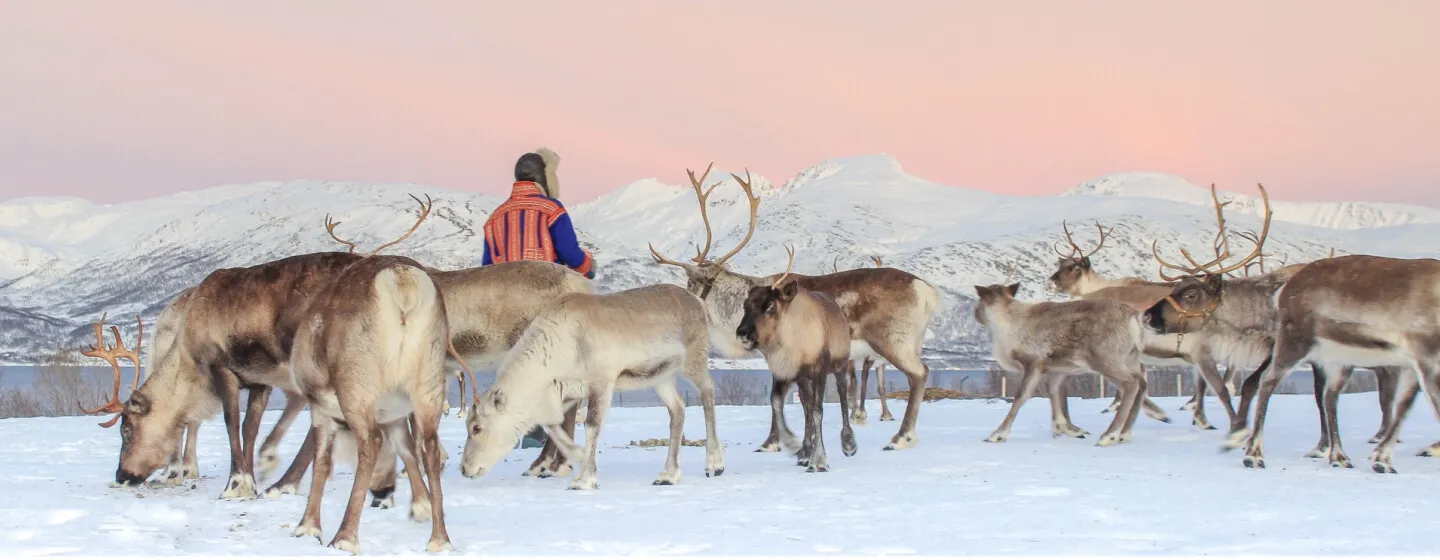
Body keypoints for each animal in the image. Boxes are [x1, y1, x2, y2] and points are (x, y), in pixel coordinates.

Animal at [458, 282, 725, 490]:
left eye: (476, 427)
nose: (464, 469)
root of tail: (699, 302)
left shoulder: (602, 382)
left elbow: (591, 425)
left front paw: (585, 478)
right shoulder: (568, 391)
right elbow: (553, 425)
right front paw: (577, 456)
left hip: (694, 362)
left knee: (708, 391)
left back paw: (714, 463)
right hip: (661, 378)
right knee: (678, 409)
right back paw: (668, 475)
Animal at [736, 245, 856, 472]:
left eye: (771, 305)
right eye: (745, 305)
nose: (742, 333)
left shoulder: (819, 369)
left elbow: (817, 410)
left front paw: (819, 460)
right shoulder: (787, 372)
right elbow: (777, 402)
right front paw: (794, 444)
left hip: (840, 365)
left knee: (843, 395)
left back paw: (848, 443)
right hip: (804, 379)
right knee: (806, 406)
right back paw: (805, 452)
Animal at [973, 262, 1149, 446]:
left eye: (979, 301)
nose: (975, 313)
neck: (1006, 324)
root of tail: (1134, 318)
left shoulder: (1033, 363)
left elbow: (1022, 396)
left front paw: (998, 434)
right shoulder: (1057, 370)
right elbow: (1054, 394)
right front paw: (1064, 428)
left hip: (1105, 360)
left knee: (1131, 384)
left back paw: (1110, 435)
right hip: (1130, 359)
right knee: (1142, 383)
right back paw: (1125, 434)